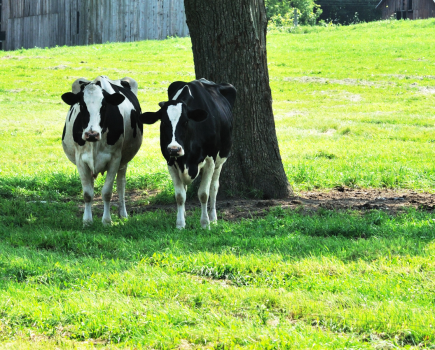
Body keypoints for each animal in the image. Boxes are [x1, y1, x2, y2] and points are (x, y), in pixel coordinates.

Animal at [61, 75, 143, 226]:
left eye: (104, 106)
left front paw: (106, 221)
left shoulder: (115, 159)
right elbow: (87, 193)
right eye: (82, 105)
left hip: (124, 161)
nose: (91, 134)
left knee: (121, 184)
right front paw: (87, 221)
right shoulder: (81, 160)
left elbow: (107, 192)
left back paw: (123, 214)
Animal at [141, 78, 237, 228]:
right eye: (163, 123)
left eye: (186, 122)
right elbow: (180, 196)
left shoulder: (210, 161)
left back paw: (213, 217)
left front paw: (205, 224)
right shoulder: (170, 162)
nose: (174, 149)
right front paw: (180, 224)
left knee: (214, 187)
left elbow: (204, 194)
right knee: (185, 189)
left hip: (221, 159)